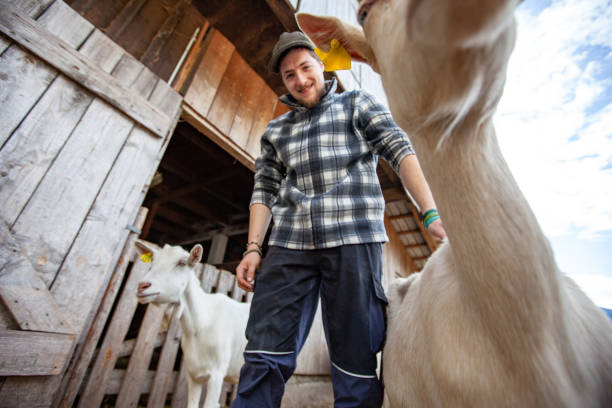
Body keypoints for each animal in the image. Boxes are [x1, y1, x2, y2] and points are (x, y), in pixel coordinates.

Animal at [136, 242, 249, 408]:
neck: (201, 323)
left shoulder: (217, 373)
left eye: (182, 263)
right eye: (152, 261)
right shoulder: (194, 374)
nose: (142, 286)